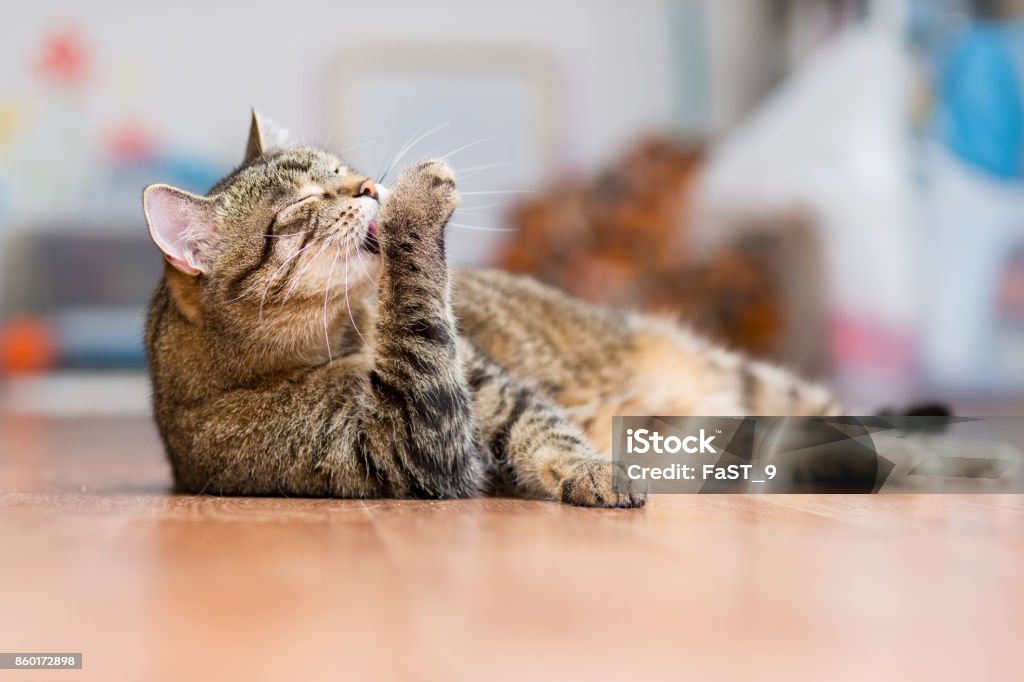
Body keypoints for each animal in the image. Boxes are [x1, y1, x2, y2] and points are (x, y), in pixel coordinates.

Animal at [146, 111, 839, 503]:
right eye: (302, 203)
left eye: (342, 169)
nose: (369, 187)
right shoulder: (409, 442)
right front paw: (415, 208)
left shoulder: (489, 386)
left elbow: (545, 428)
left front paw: (592, 469)